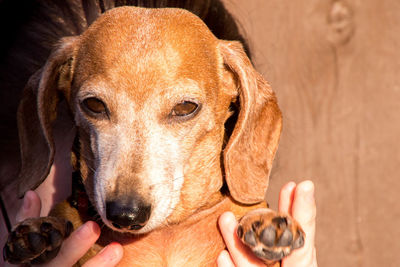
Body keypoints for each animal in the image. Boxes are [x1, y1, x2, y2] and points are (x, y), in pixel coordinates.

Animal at [2, 5, 304, 266]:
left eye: (185, 107)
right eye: (94, 105)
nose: (125, 214)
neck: (166, 232)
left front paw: (264, 220)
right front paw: (39, 231)